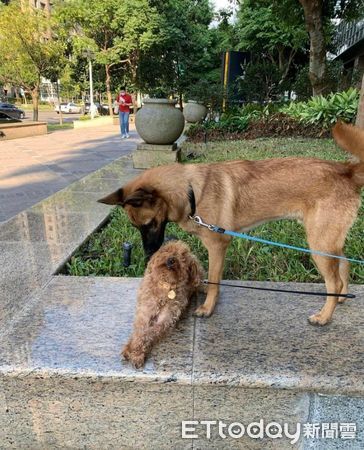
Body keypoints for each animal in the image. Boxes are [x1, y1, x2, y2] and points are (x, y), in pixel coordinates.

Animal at [99, 122, 364, 326]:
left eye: (150, 224)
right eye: (137, 227)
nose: (149, 254)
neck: (190, 191)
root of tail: (347, 171)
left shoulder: (217, 245)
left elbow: (215, 279)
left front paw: (208, 307)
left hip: (319, 245)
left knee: (334, 279)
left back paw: (325, 316)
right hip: (328, 243)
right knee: (344, 265)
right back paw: (341, 298)